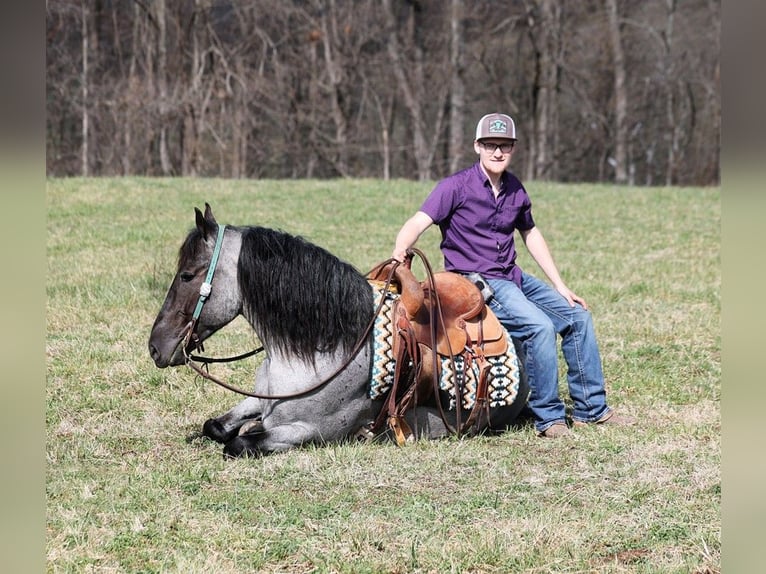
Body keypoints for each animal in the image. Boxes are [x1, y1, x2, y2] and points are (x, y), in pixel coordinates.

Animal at [148, 206, 528, 460]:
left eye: (187, 274)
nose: (155, 347)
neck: (324, 348)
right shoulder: (258, 400)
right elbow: (215, 426)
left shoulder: (308, 432)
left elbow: (239, 441)